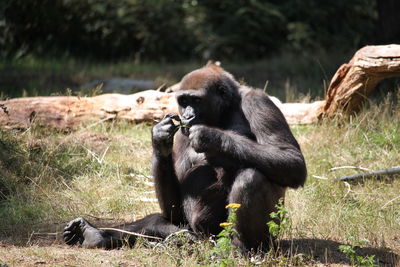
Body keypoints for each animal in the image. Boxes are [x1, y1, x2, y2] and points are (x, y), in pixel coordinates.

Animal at [62, 63, 306, 253]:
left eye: (195, 101)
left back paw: (243, 249)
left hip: (254, 239)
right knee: (161, 223)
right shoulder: (181, 130)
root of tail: (206, 242)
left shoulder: (258, 100)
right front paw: (159, 139)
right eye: (183, 101)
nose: (187, 116)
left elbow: (290, 159)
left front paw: (211, 138)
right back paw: (93, 234)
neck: (226, 108)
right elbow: (172, 208)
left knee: (252, 178)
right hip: (196, 234)